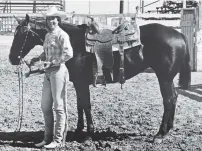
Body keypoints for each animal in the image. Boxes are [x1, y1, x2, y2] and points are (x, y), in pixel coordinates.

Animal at [8, 13, 191, 142]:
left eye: (21, 35)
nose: (12, 58)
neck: (72, 43)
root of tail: (179, 35)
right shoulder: (78, 83)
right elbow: (80, 105)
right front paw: (78, 131)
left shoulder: (82, 83)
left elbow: (86, 105)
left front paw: (89, 134)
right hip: (168, 78)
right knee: (174, 98)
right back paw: (168, 129)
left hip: (164, 77)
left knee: (168, 100)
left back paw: (160, 133)